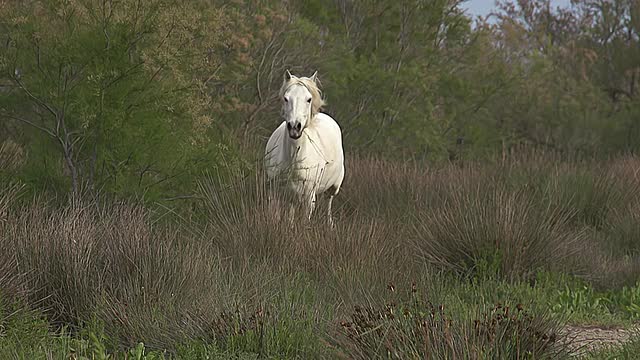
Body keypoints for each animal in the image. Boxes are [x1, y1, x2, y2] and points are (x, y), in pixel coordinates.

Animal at [264, 70, 344, 226]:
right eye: (286, 98)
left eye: (308, 99)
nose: (295, 127)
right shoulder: (275, 191)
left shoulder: (309, 197)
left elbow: (305, 220)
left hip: (333, 187)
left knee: (329, 202)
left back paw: (329, 224)